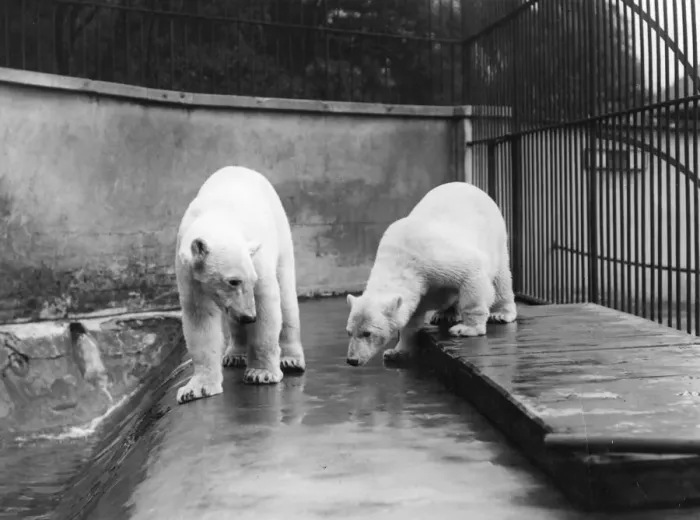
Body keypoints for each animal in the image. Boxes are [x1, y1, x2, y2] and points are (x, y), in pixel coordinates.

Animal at [174, 166, 305, 405]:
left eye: (251, 280)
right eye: (233, 281)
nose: (249, 316)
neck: (219, 216)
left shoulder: (256, 258)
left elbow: (266, 303)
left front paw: (261, 373)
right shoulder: (189, 273)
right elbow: (199, 318)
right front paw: (195, 389)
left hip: (280, 230)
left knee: (286, 295)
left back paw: (291, 359)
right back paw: (235, 354)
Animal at [345, 181, 517, 367]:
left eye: (367, 333)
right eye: (349, 332)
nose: (352, 360)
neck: (400, 259)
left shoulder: (432, 260)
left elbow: (472, 272)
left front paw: (467, 329)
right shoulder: (417, 287)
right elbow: (411, 320)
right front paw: (395, 352)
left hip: (494, 235)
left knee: (501, 277)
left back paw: (501, 313)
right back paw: (444, 314)